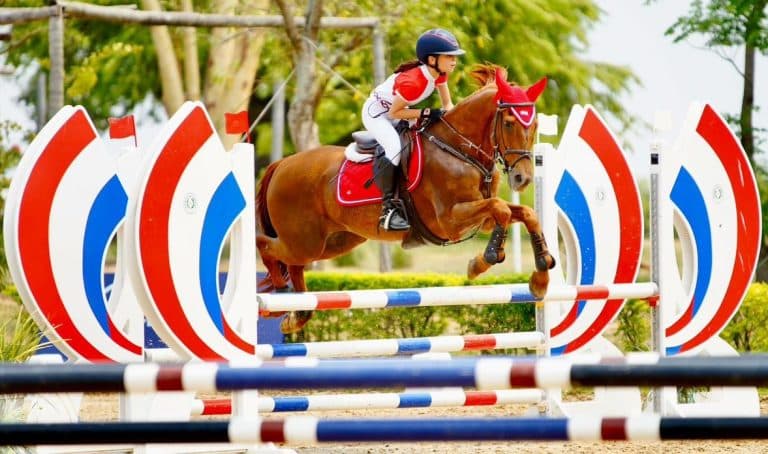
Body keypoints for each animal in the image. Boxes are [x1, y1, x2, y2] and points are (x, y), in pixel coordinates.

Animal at [260, 63, 560, 334]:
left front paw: (540, 278)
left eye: (534, 125)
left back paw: (297, 314)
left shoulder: (480, 219)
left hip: (335, 241)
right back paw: (278, 294)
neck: (459, 150)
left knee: (294, 264)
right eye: (509, 123)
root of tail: (282, 164)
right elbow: (501, 210)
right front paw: (484, 261)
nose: (522, 179)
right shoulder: (449, 221)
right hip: (305, 241)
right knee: (266, 246)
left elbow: (523, 213)